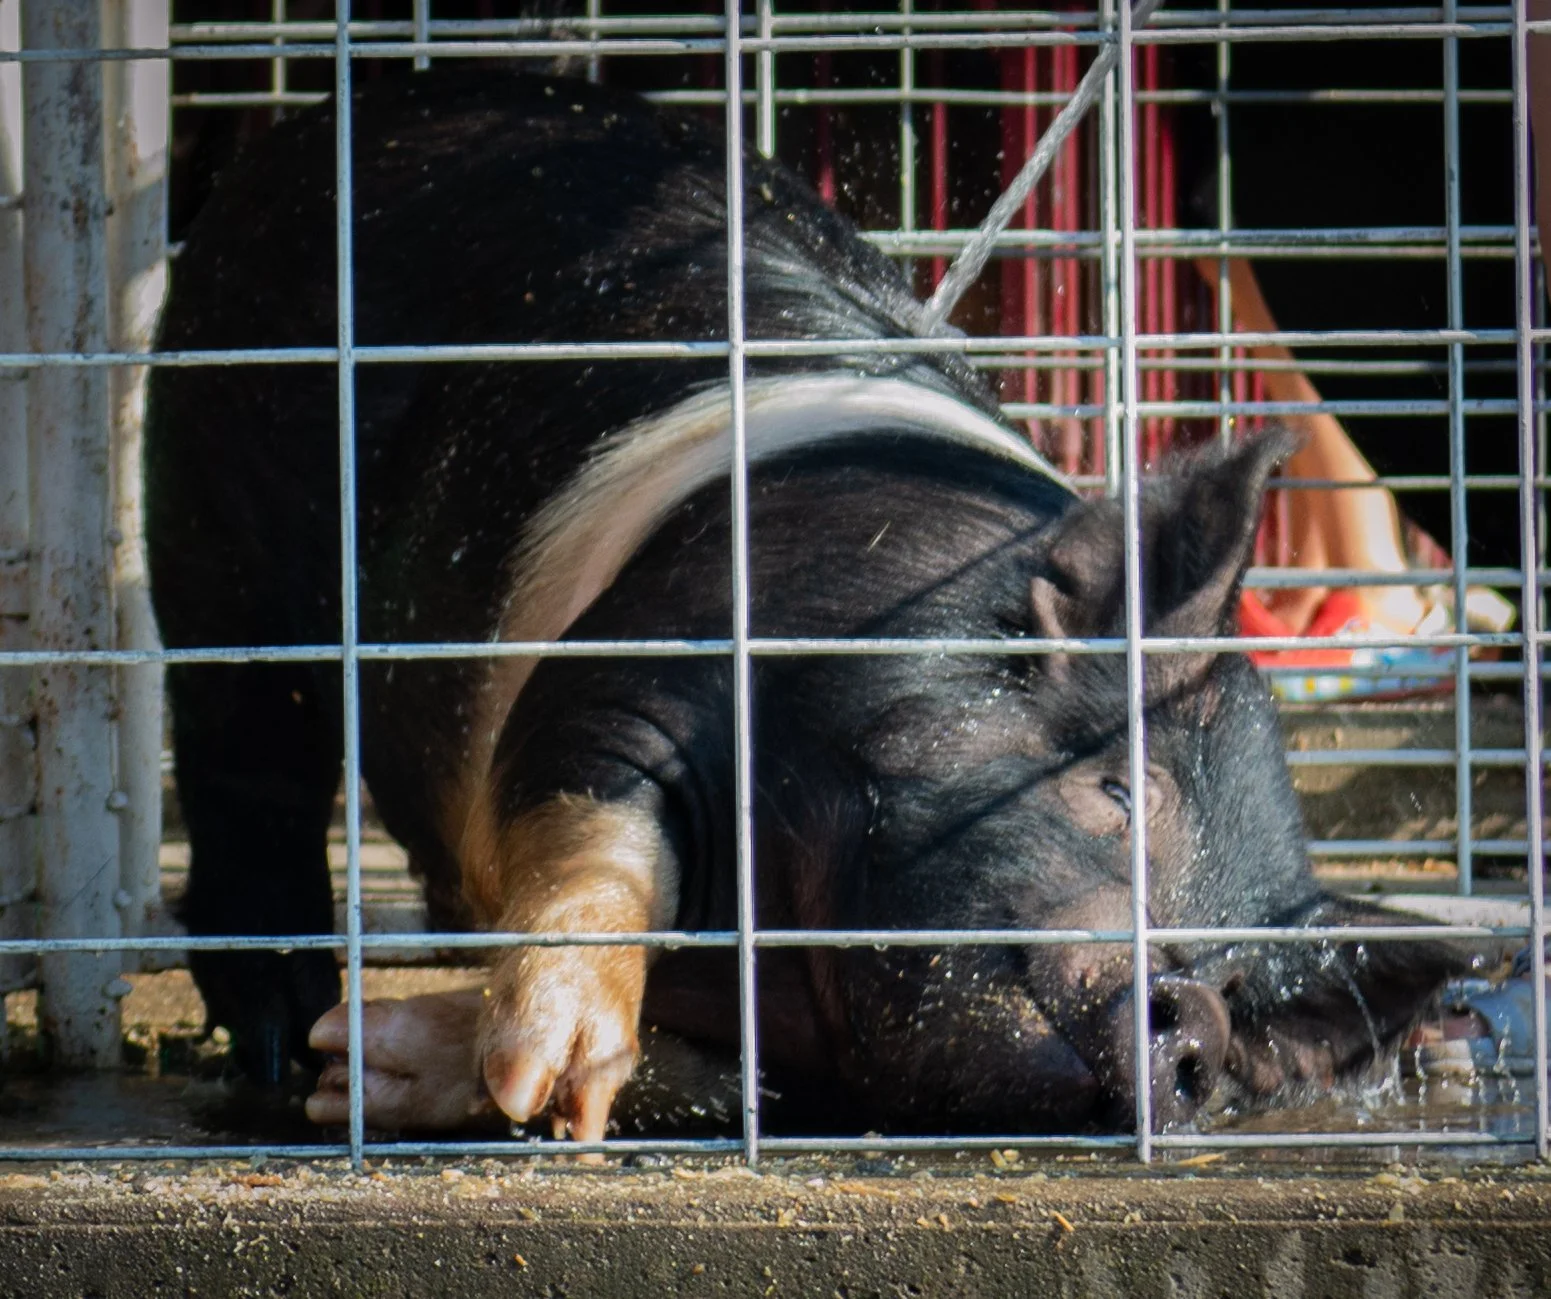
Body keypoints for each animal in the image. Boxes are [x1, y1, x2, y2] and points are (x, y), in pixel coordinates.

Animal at [145, 66, 1471, 1142]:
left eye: (1245, 986)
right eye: (1118, 789)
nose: (1191, 1011)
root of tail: (351, 113)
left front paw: (417, 1078)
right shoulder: (661, 640)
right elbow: (596, 822)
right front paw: (536, 1077)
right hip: (216, 518)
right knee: (243, 761)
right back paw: (284, 1032)